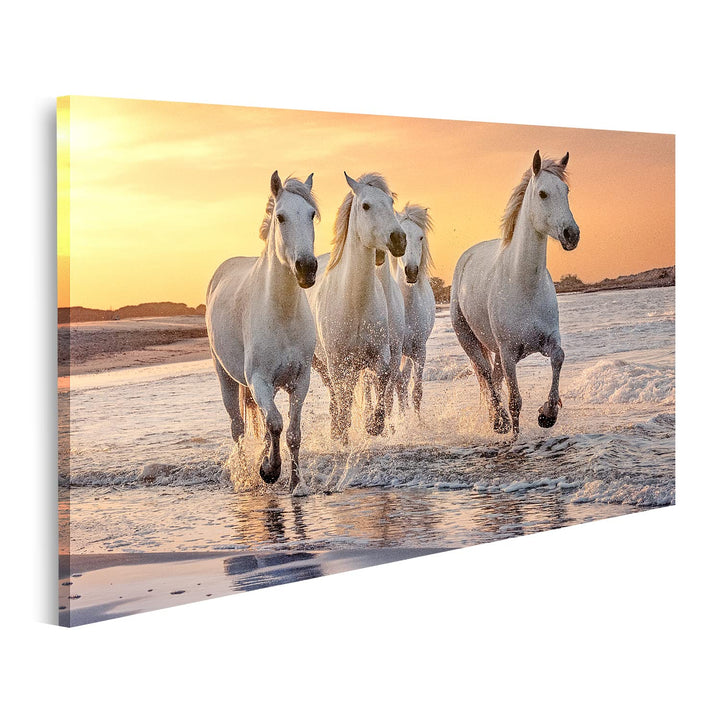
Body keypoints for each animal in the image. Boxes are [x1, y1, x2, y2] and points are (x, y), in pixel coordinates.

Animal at [205, 171, 319, 491]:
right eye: (280, 217)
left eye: (311, 214)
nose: (307, 268)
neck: (281, 314)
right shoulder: (259, 380)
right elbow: (276, 424)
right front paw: (270, 470)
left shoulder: (300, 380)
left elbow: (291, 432)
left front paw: (295, 483)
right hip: (226, 379)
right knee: (238, 428)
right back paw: (246, 474)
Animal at [306, 172, 406, 444]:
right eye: (366, 206)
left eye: (391, 203)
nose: (399, 240)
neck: (354, 303)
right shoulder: (338, 363)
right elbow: (343, 397)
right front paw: (342, 433)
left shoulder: (380, 355)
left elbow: (382, 381)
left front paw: (374, 425)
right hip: (321, 363)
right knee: (335, 393)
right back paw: (336, 430)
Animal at [450, 150, 580, 437]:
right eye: (542, 193)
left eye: (566, 190)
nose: (572, 234)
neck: (523, 285)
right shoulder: (509, 353)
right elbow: (515, 402)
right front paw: (516, 435)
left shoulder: (548, 341)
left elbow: (559, 358)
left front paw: (547, 414)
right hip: (470, 341)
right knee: (487, 376)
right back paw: (499, 422)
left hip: (496, 351)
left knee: (494, 378)